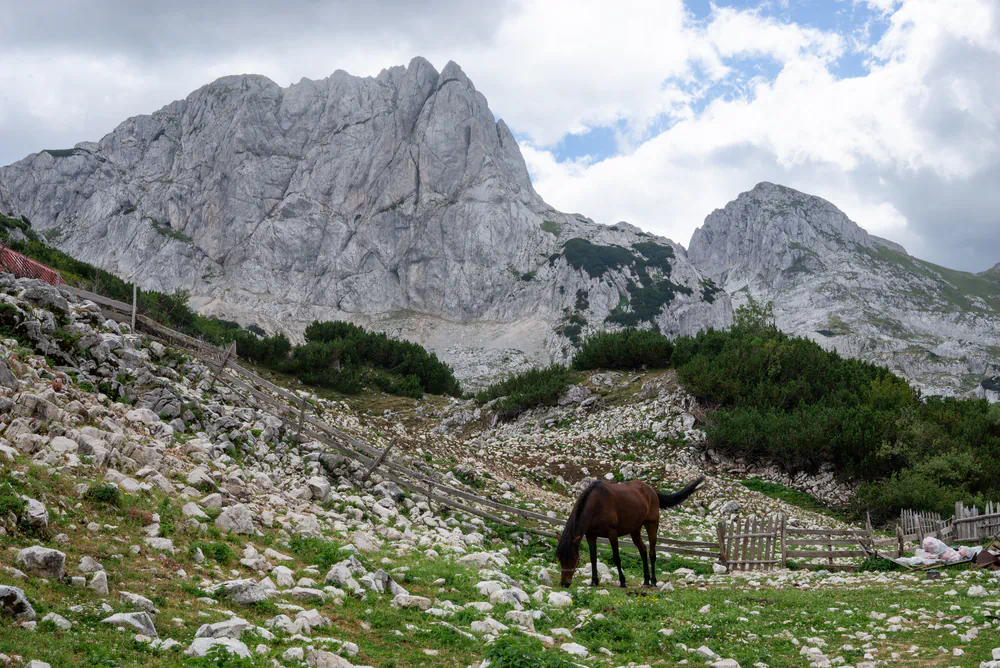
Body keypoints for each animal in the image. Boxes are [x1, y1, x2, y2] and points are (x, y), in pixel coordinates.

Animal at [556, 477, 704, 588]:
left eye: (573, 559)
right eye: (559, 558)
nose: (565, 584)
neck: (596, 505)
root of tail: (652, 491)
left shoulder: (612, 534)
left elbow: (616, 557)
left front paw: (622, 582)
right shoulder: (591, 535)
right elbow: (593, 558)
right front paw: (593, 582)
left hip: (651, 525)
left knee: (652, 553)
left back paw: (653, 581)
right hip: (635, 531)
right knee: (643, 550)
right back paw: (646, 580)